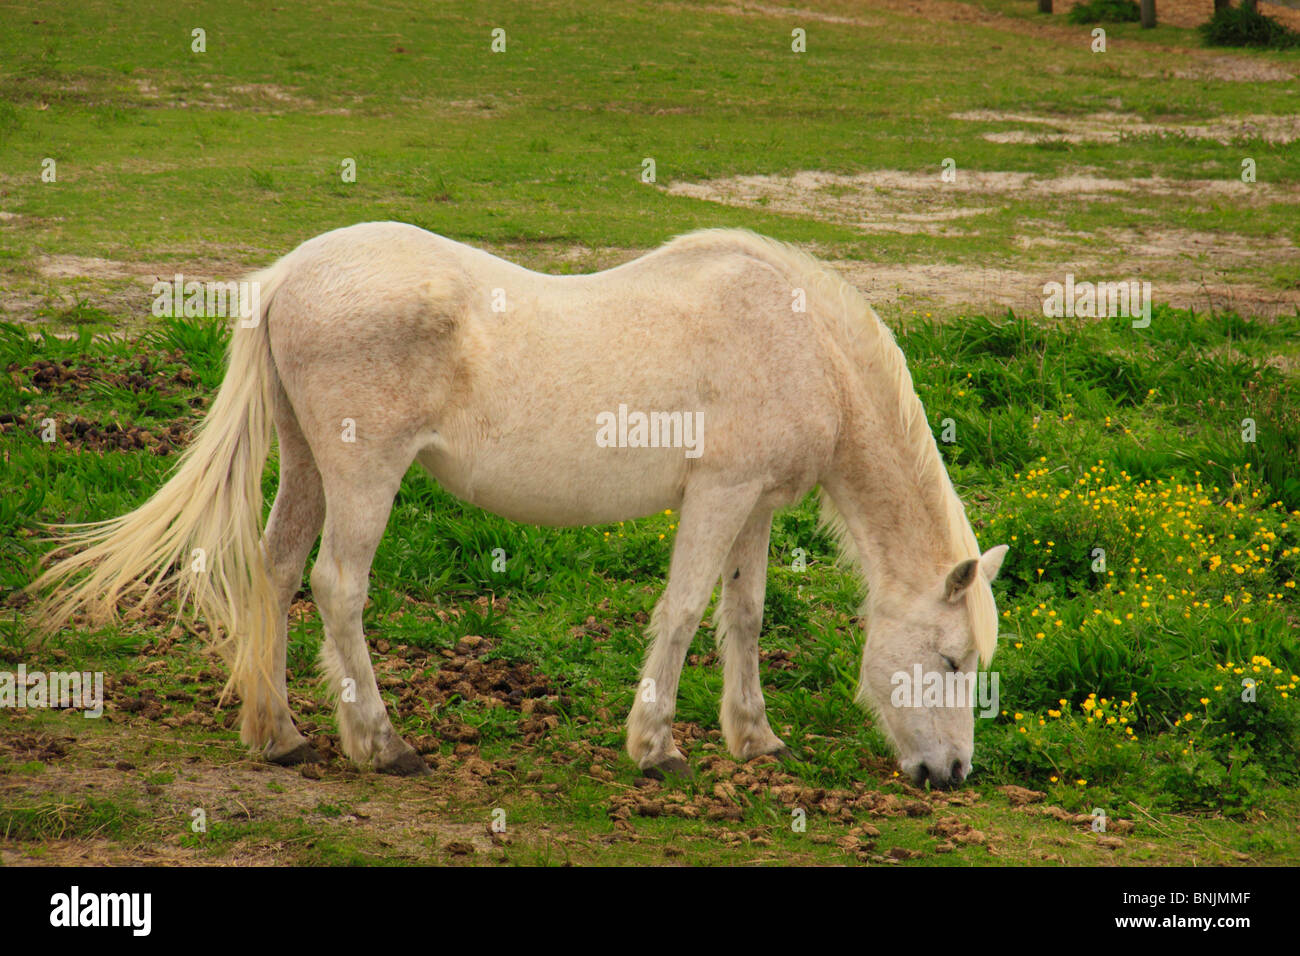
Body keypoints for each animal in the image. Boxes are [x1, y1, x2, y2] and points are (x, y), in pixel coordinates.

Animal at [30, 226, 1008, 790]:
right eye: (952, 662)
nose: (952, 774)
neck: (799, 341)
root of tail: (288, 277)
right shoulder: (719, 493)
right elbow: (684, 612)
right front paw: (656, 747)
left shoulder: (755, 506)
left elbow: (745, 615)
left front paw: (755, 738)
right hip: (363, 473)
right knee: (337, 584)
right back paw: (381, 744)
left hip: (307, 464)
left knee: (274, 573)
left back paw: (278, 736)